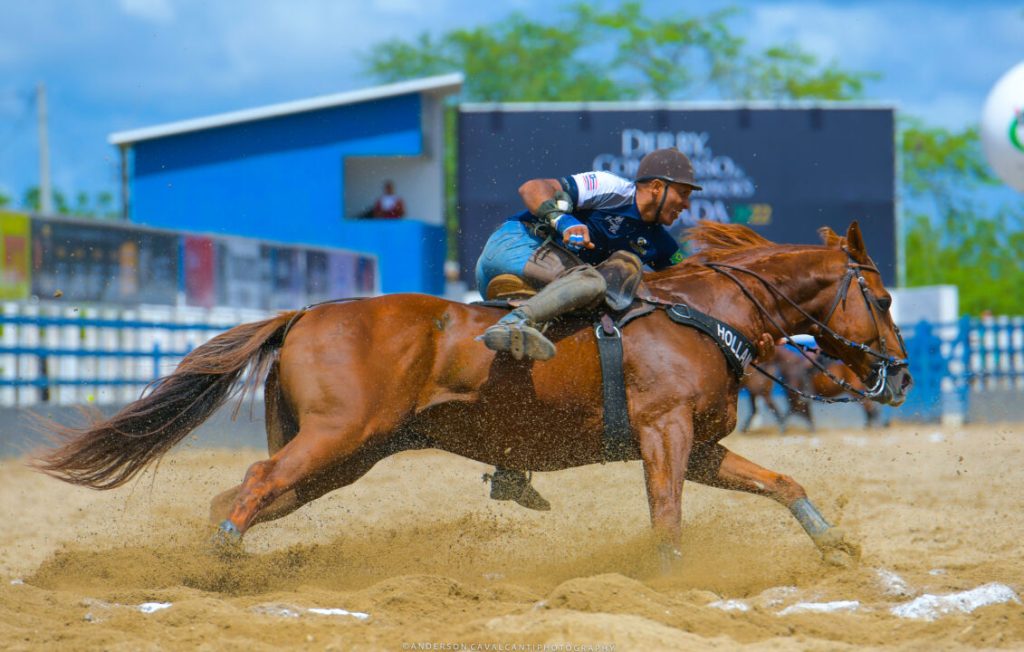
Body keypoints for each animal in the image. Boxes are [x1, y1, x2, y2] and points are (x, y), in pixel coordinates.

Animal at [32, 221, 913, 569]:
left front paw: (835, 544)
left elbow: (783, 482)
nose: (900, 375)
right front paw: (669, 578)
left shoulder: (699, 447)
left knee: (244, 493)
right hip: (333, 439)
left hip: (339, 458)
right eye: (881, 297)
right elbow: (666, 517)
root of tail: (306, 312)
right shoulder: (665, 436)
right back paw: (220, 564)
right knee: (250, 485)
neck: (702, 313)